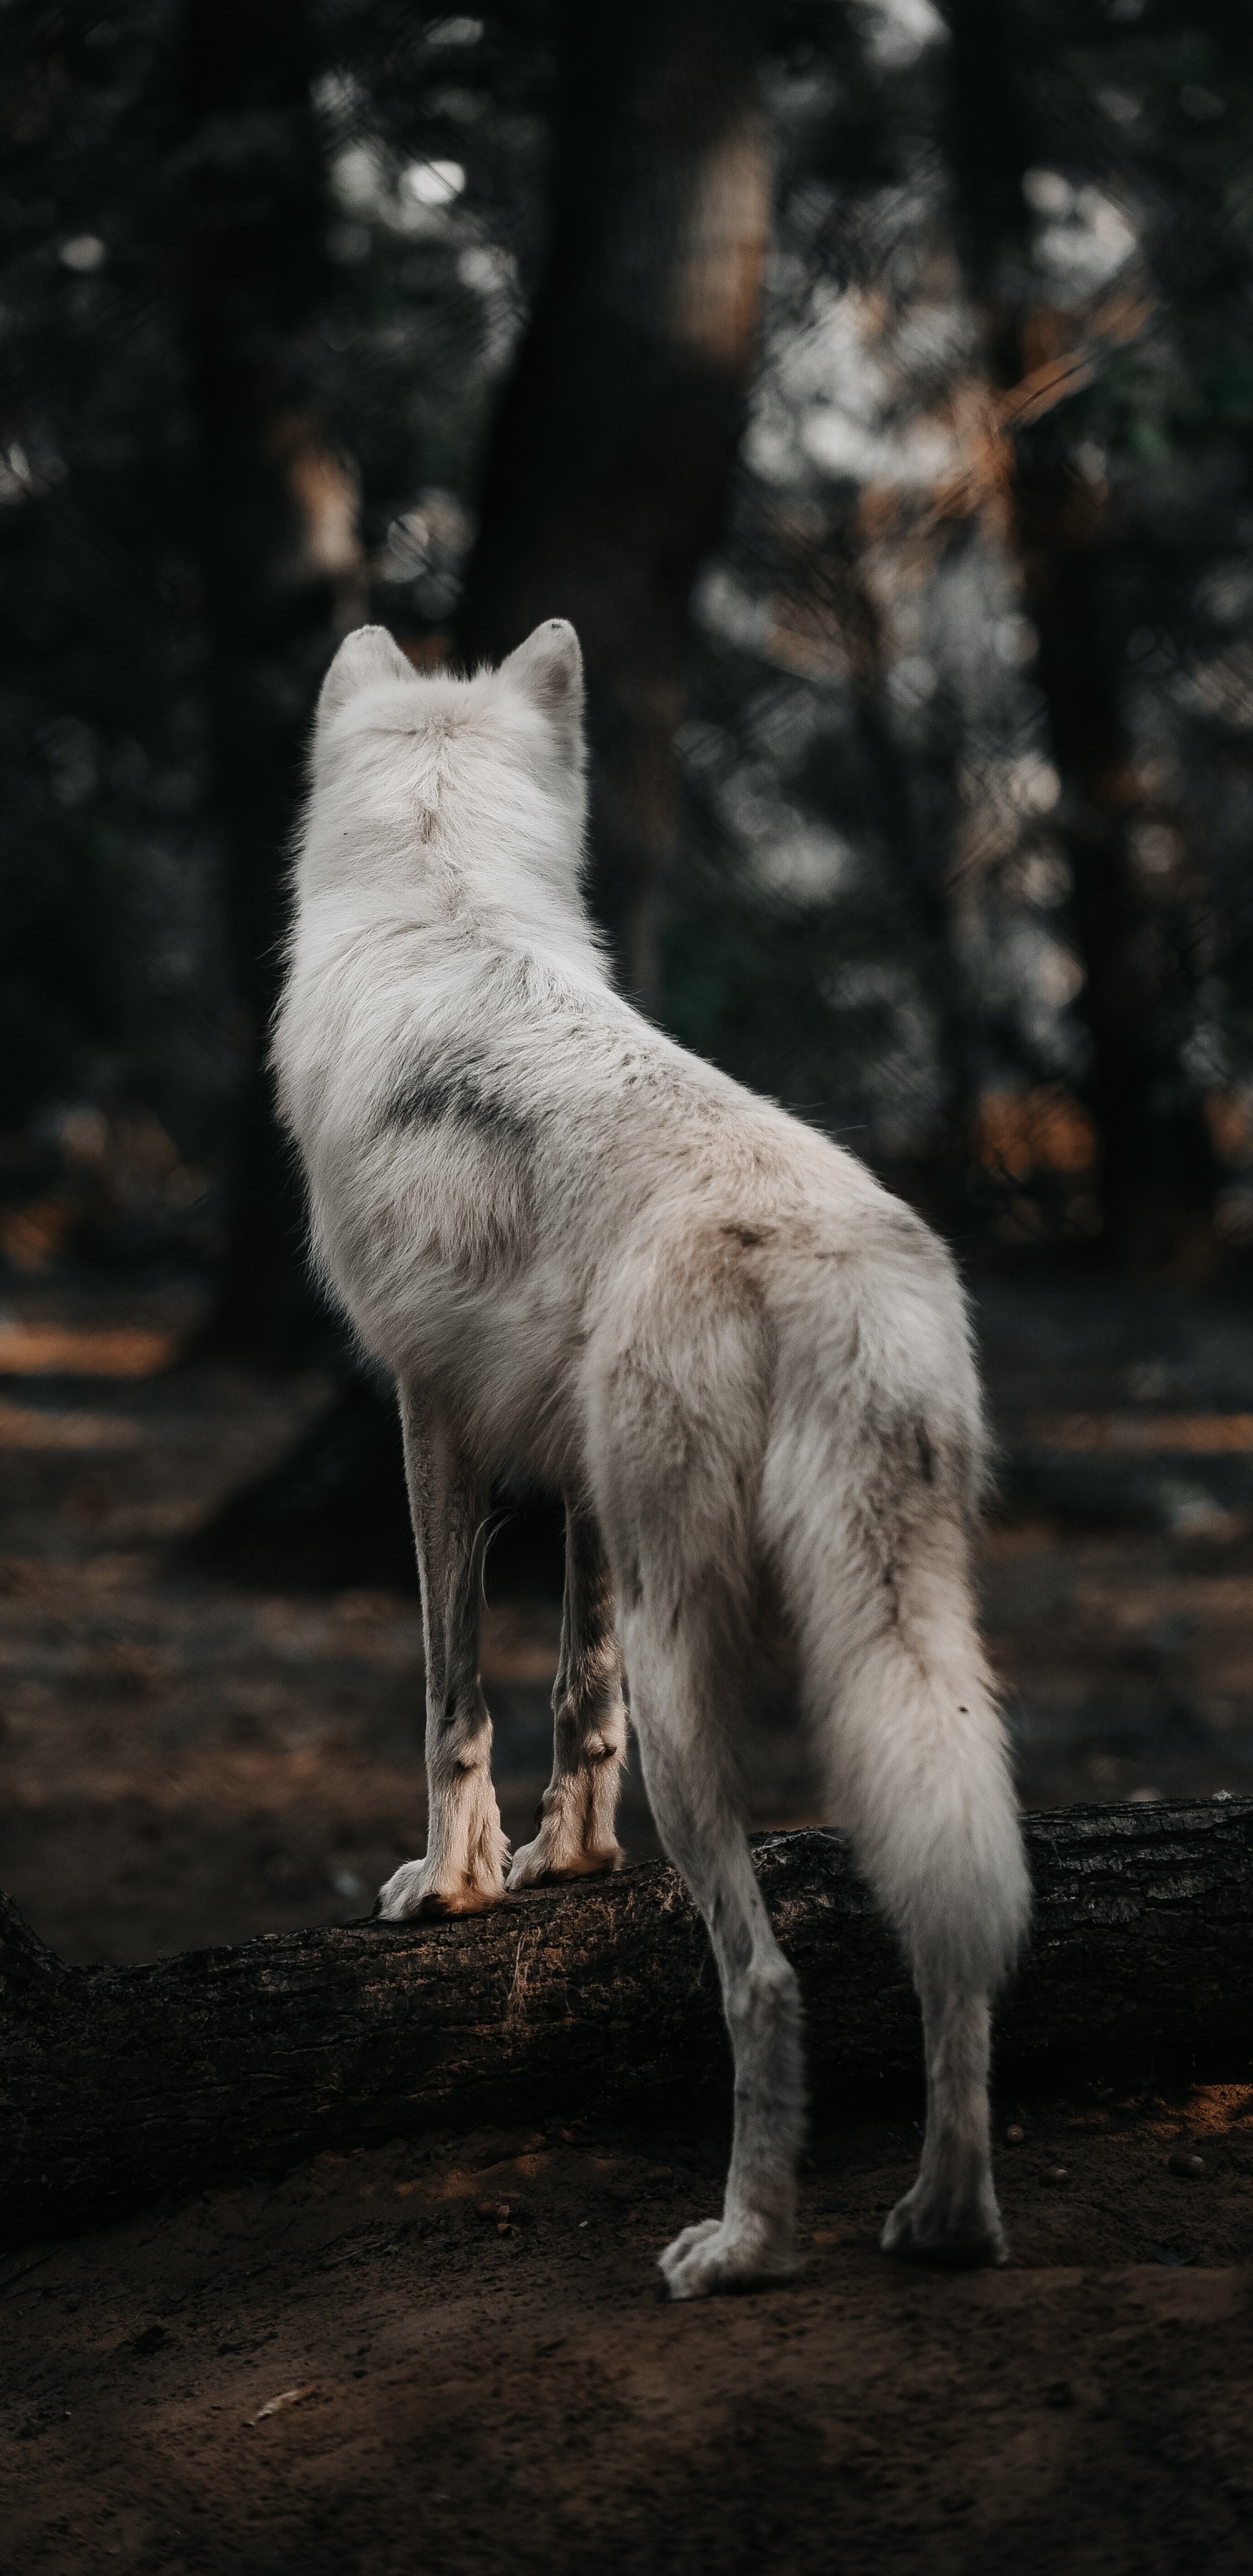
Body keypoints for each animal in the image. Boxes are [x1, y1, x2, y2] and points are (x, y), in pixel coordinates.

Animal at [273, 616, 1031, 2298]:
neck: (442, 899)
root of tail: (819, 1251)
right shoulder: (582, 1487)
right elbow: (575, 1690)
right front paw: (565, 1866)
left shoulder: (432, 1417)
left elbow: (454, 1698)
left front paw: (453, 1887)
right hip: (917, 1658)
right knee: (955, 1918)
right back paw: (946, 2220)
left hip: (714, 1699)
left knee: (766, 1983)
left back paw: (745, 2244)